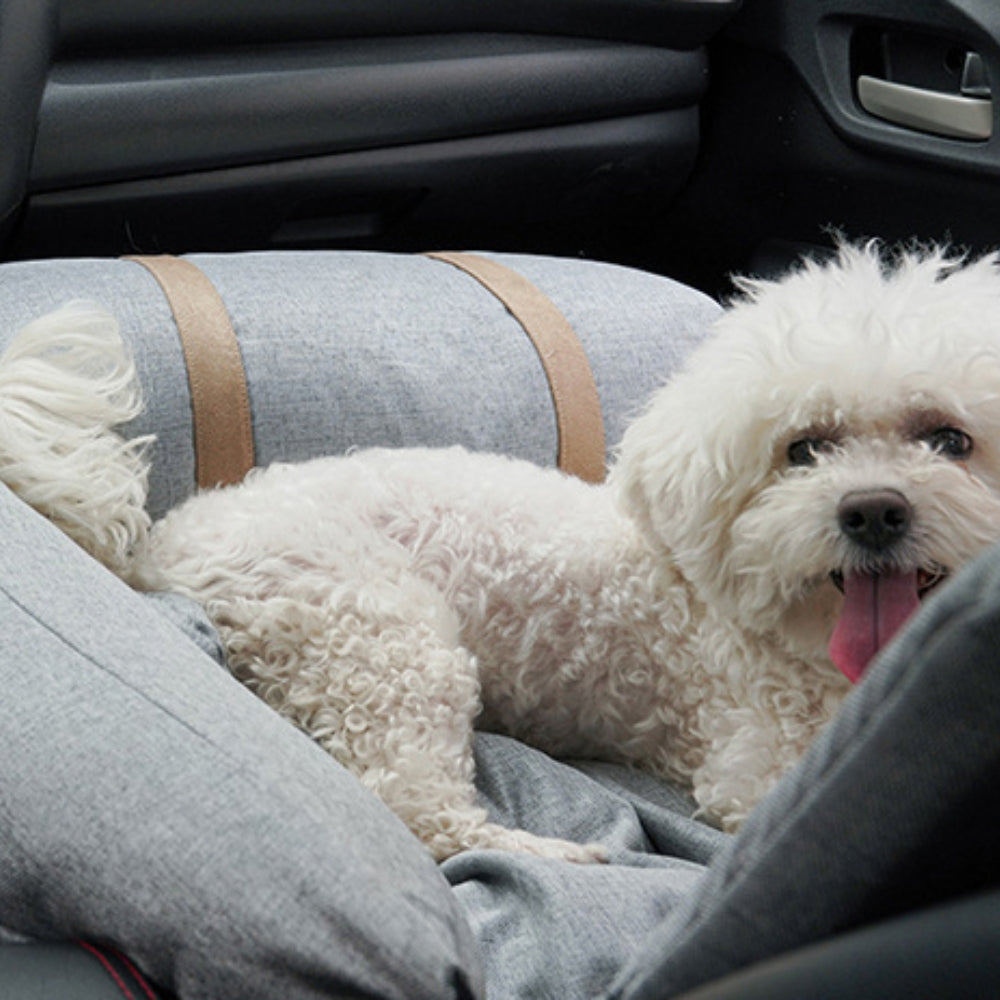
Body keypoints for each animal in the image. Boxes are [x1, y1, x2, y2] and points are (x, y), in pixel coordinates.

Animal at [1, 244, 1000, 860]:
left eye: (951, 440)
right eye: (803, 449)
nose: (873, 512)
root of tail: (167, 540)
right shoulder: (753, 766)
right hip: (384, 640)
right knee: (420, 814)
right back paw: (559, 855)